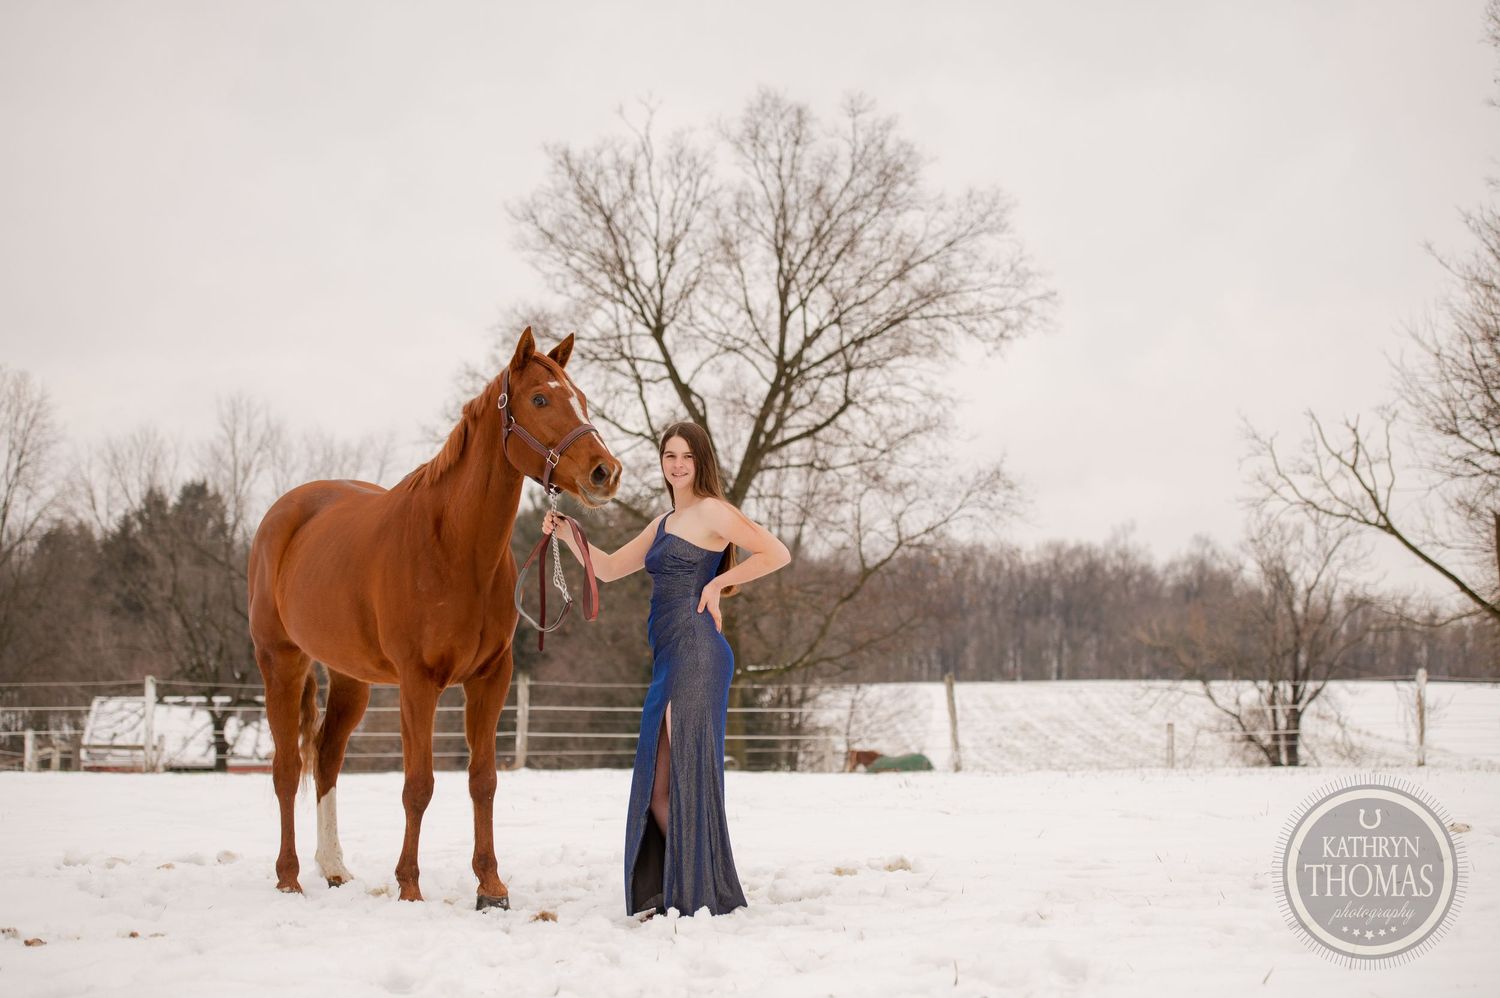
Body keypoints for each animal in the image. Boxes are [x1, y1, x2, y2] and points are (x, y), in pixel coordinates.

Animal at [247, 327, 621, 908]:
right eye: (541, 399)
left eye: (580, 398)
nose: (605, 472)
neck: (454, 546)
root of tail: (282, 514)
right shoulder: (418, 683)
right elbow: (418, 784)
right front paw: (409, 886)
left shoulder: (491, 678)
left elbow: (483, 779)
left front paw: (491, 887)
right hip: (281, 662)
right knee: (287, 768)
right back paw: (289, 877)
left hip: (350, 679)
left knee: (327, 759)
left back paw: (334, 868)